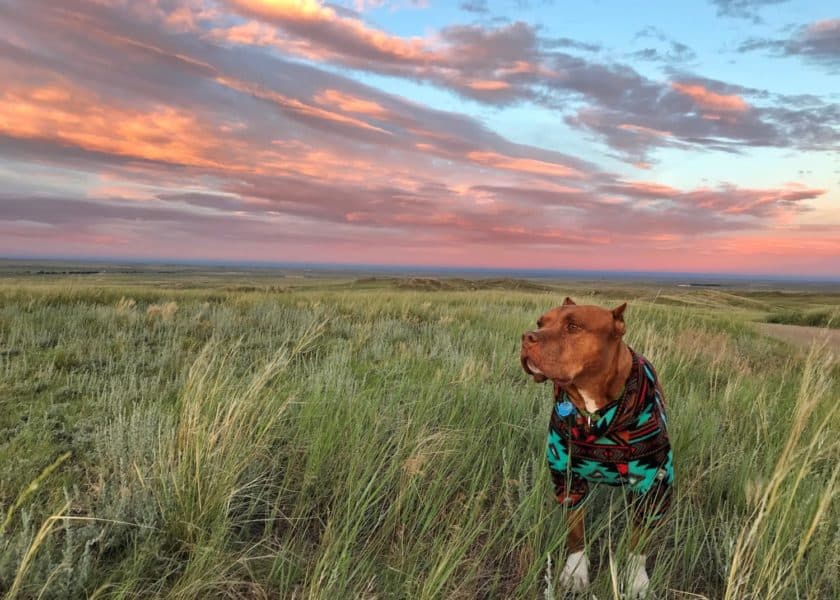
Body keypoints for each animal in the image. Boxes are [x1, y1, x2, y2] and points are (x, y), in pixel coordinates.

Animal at [520, 298, 676, 596]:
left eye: (573, 326)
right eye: (540, 323)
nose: (526, 337)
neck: (595, 412)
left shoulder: (652, 487)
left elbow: (638, 541)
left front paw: (636, 580)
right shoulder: (567, 477)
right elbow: (575, 530)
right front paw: (576, 571)